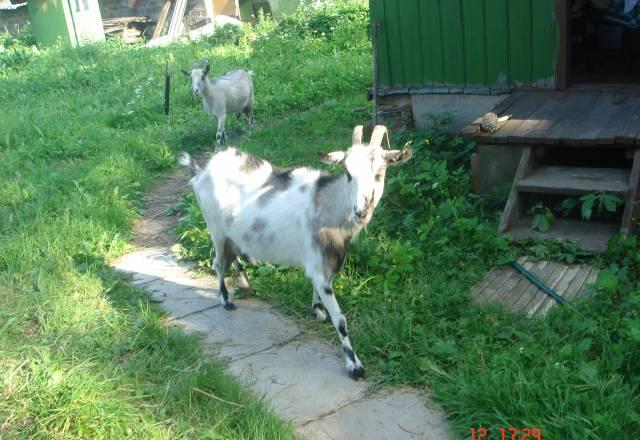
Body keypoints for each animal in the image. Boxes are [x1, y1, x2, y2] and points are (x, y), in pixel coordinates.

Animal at [178, 125, 412, 379]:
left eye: (380, 172)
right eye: (348, 173)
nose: (361, 211)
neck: (327, 205)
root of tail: (201, 171)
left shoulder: (323, 266)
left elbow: (317, 291)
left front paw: (317, 311)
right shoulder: (320, 266)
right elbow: (340, 319)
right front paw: (354, 365)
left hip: (231, 233)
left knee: (232, 257)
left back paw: (246, 284)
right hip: (215, 228)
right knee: (218, 263)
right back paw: (226, 300)